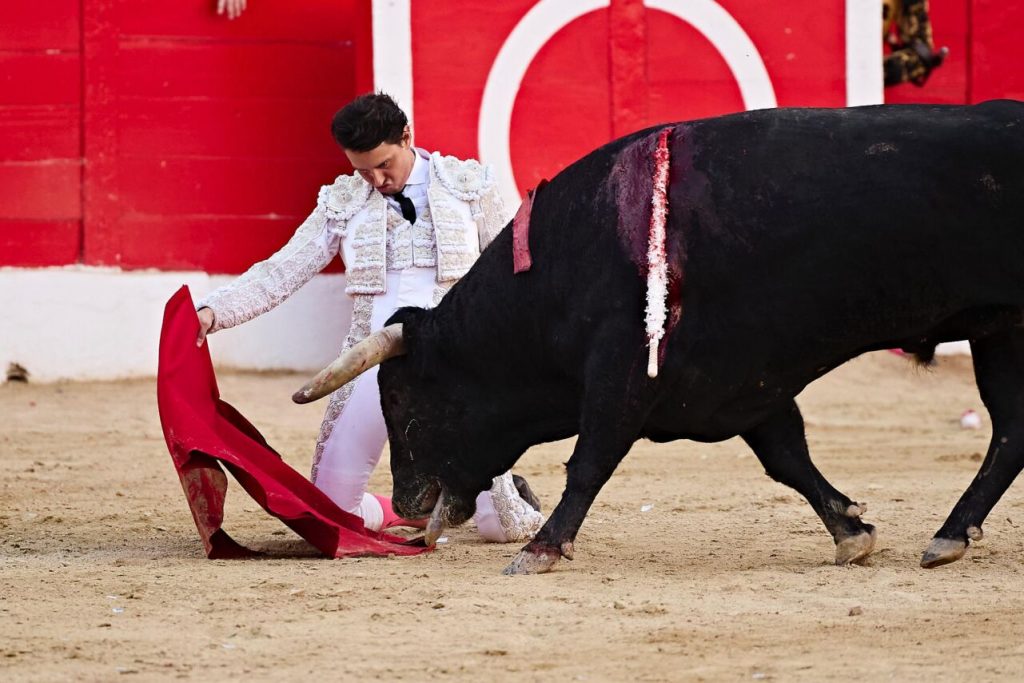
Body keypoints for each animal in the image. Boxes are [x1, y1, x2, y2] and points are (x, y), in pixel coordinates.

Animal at [296, 100, 1024, 573]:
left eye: (403, 399)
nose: (407, 501)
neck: (565, 260)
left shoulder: (621, 373)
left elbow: (590, 459)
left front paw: (541, 547)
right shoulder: (740, 382)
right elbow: (787, 457)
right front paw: (851, 531)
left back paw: (950, 536)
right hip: (1000, 330)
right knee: (1011, 430)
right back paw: (949, 536)